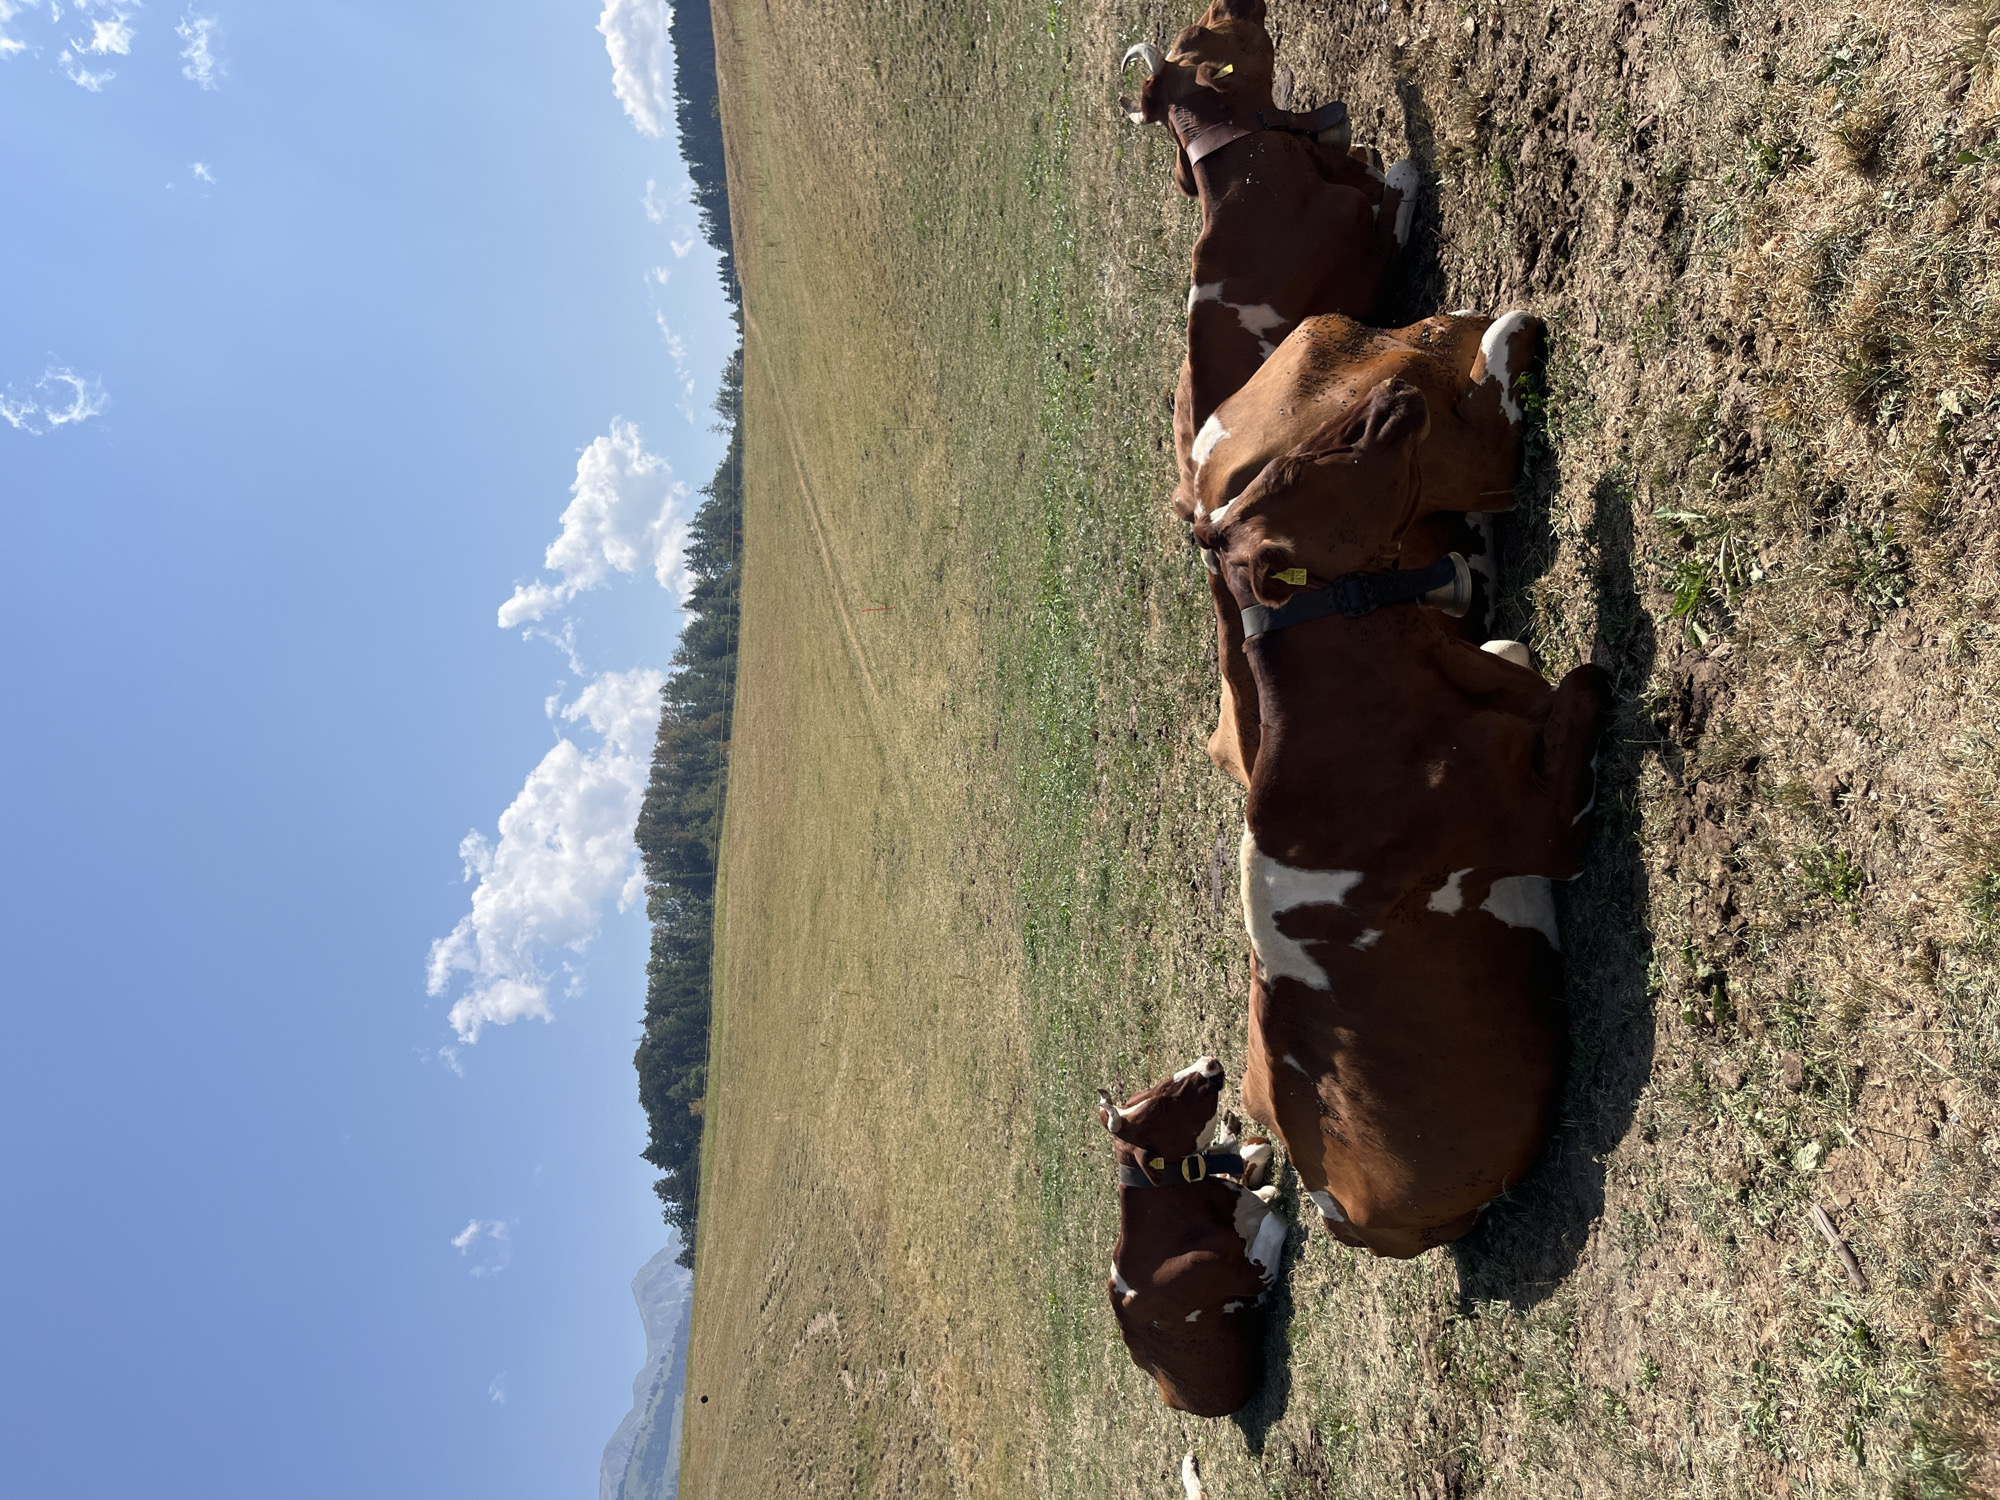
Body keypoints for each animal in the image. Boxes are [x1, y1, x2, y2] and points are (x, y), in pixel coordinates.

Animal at [1099, 1057, 1286, 1416]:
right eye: (1160, 1107)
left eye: (1149, 1092)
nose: (1208, 1063)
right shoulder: (1253, 1275)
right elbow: (1276, 1219)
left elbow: (1254, 1150)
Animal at [1188, 371, 1610, 1260]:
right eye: (1297, 469)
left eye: (1272, 471)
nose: (1389, 390)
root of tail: (1337, 1213)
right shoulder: (1549, 830)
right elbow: (1588, 679)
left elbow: (1530, 653)